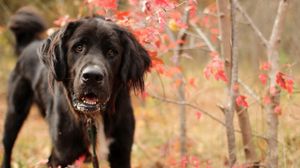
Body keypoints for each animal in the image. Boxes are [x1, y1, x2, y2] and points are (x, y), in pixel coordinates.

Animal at [1, 6, 151, 168]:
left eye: (112, 52)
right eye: (78, 48)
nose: (92, 76)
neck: (93, 117)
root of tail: (28, 45)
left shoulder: (121, 152)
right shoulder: (63, 155)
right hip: (14, 112)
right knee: (7, 147)